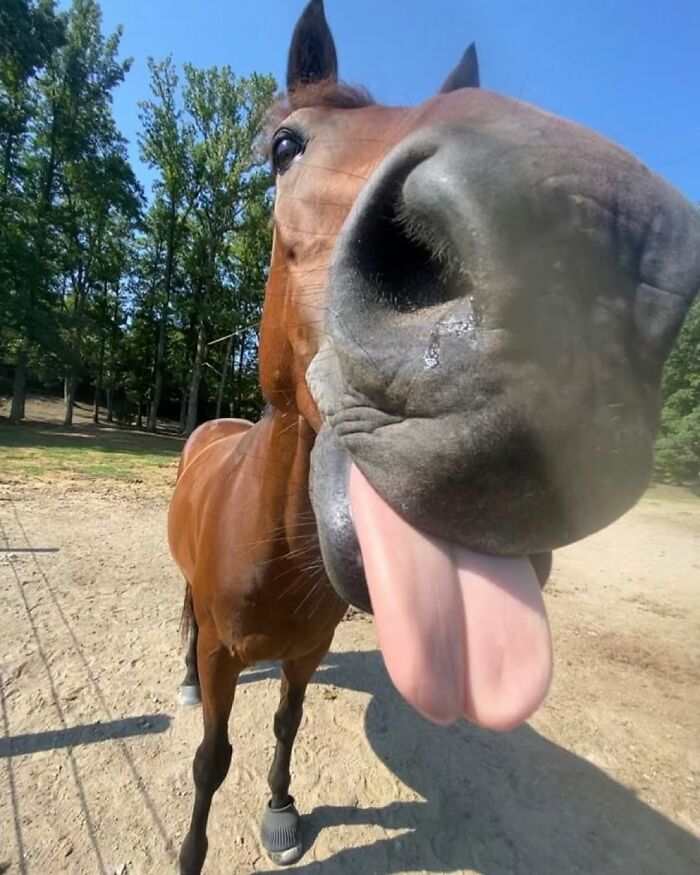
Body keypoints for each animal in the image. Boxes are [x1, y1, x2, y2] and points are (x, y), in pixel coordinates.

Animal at [167, 1, 700, 872]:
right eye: (285, 147)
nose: (587, 262)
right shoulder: (223, 651)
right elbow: (212, 758)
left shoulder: (306, 652)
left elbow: (285, 724)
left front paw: (281, 811)